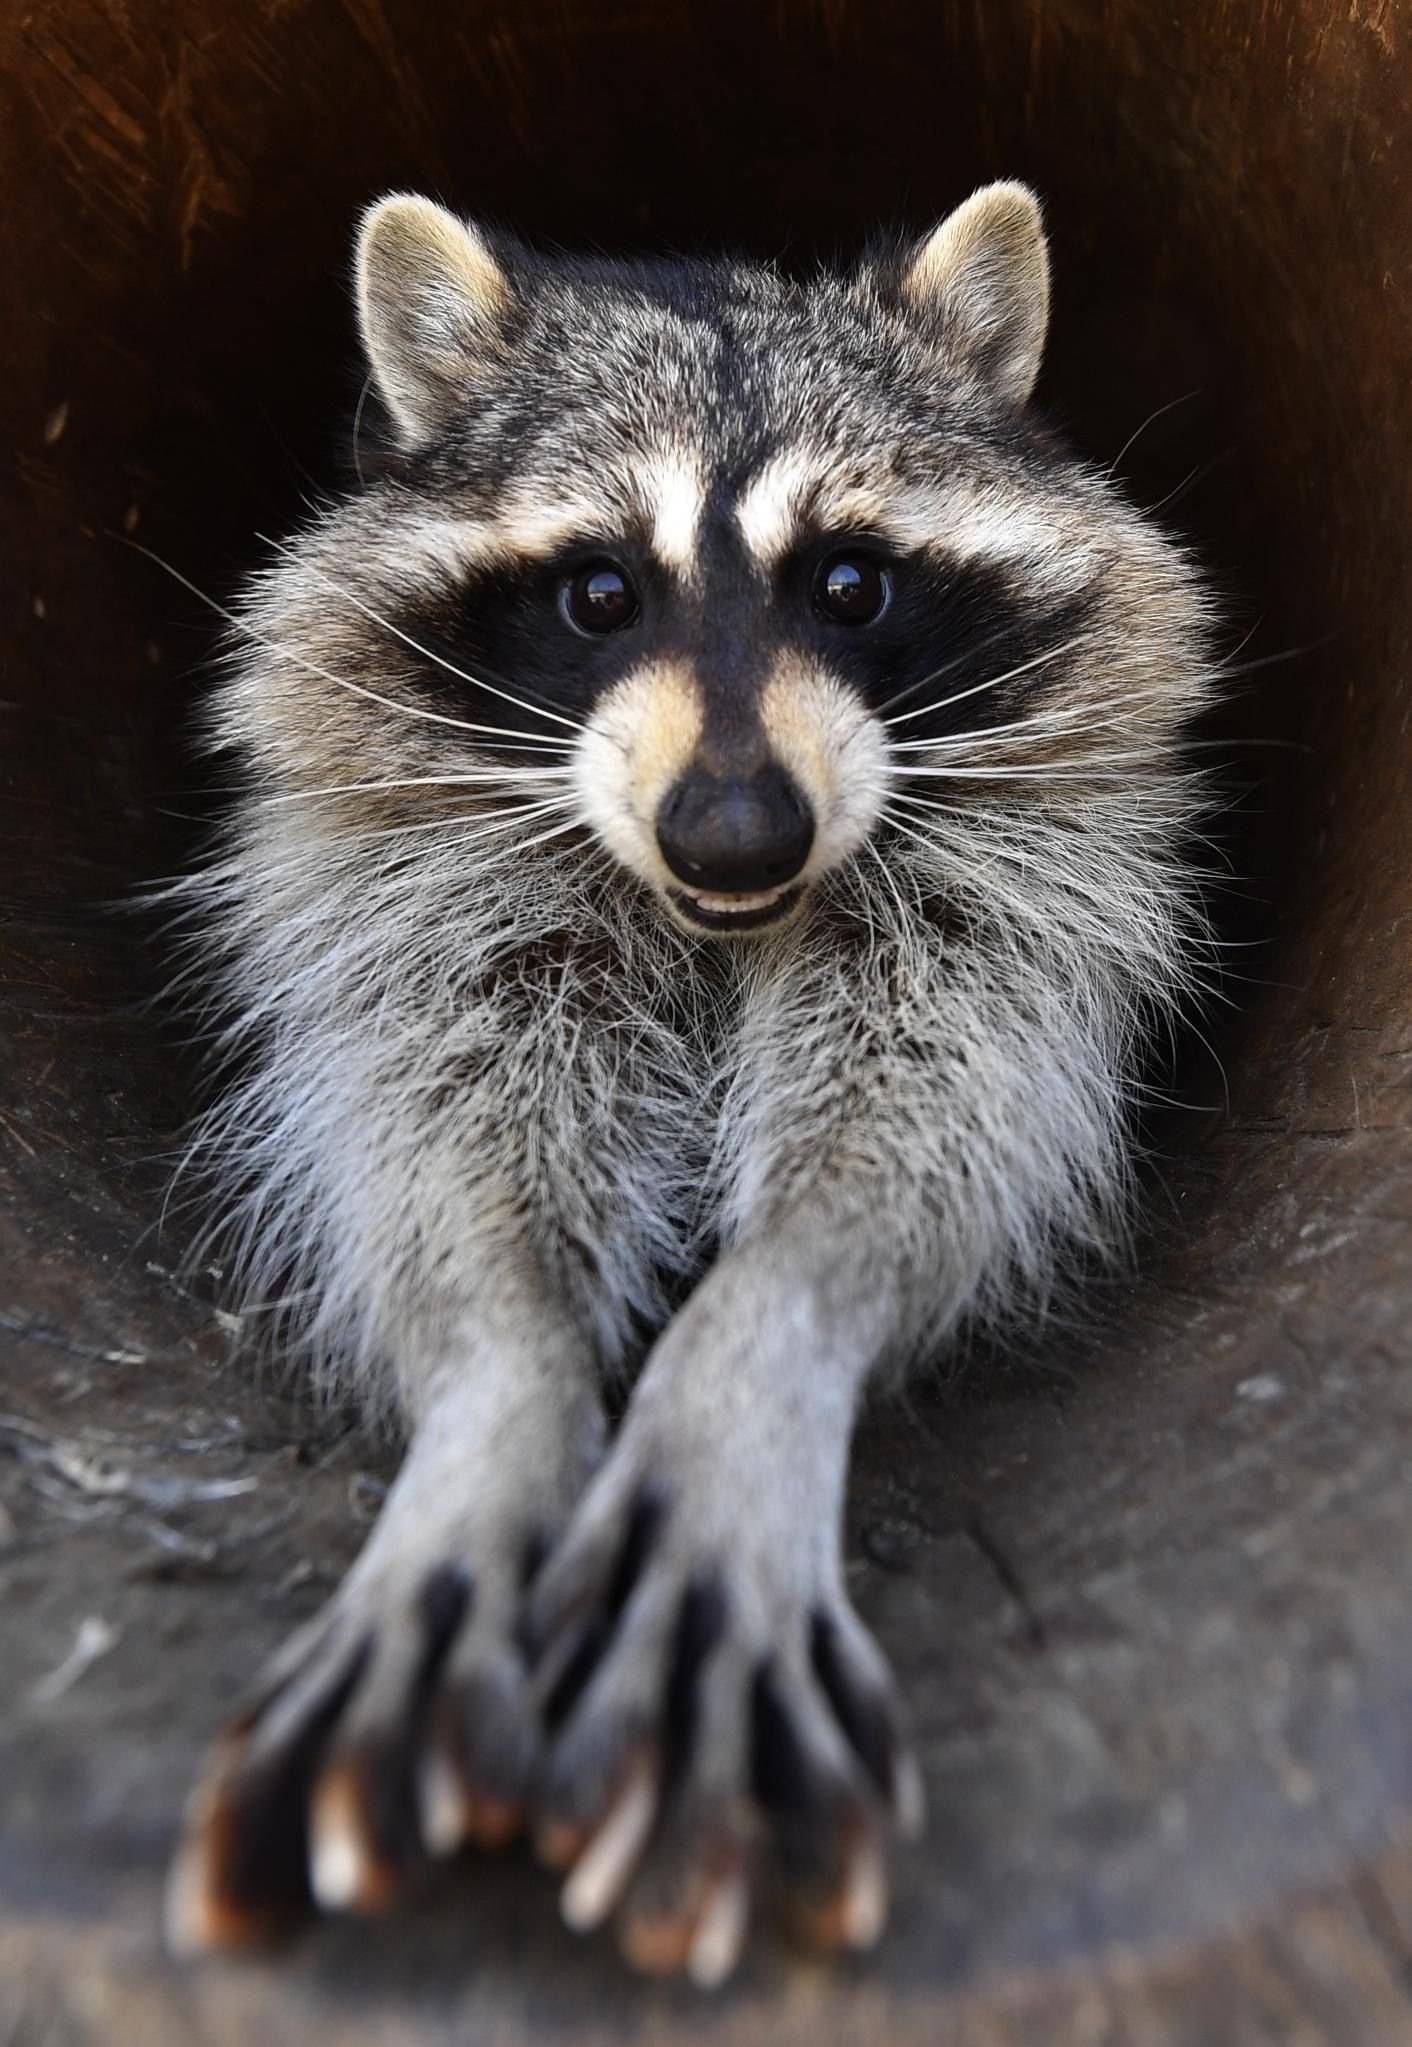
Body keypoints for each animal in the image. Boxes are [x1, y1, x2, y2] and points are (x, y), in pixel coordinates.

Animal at [159, 188, 1203, 1981]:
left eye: (848, 582)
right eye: (598, 592)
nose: (734, 831)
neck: (716, 919)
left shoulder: (1007, 888)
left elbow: (926, 1130)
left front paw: (749, 1351)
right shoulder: (425, 904)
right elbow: (443, 1145)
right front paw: (494, 1412)